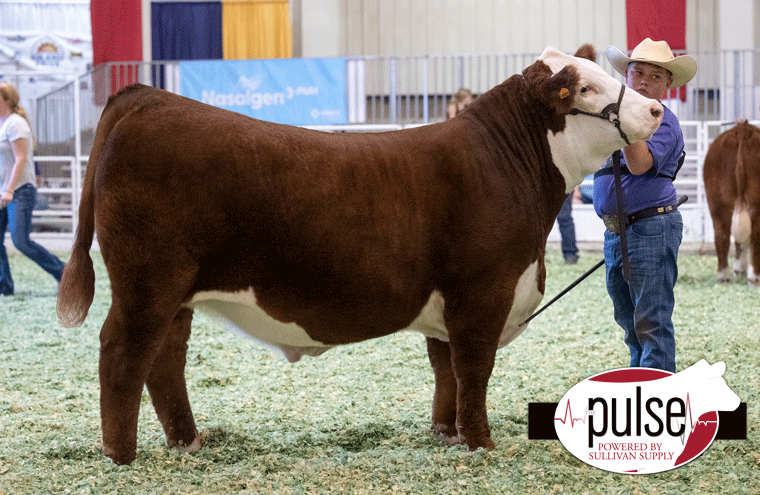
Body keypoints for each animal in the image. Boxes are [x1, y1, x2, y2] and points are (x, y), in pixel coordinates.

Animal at [56, 44, 664, 466]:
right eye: (586, 88)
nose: (657, 109)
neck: (506, 163)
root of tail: (147, 97)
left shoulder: (448, 305)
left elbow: (445, 369)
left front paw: (446, 434)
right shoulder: (481, 293)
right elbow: (473, 371)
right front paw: (481, 444)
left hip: (175, 293)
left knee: (165, 361)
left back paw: (188, 442)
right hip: (147, 284)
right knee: (123, 356)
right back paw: (121, 456)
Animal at [700, 118, 760, 286]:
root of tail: (742, 127)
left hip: (717, 204)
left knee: (721, 236)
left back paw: (723, 276)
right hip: (754, 203)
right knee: (754, 237)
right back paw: (754, 276)